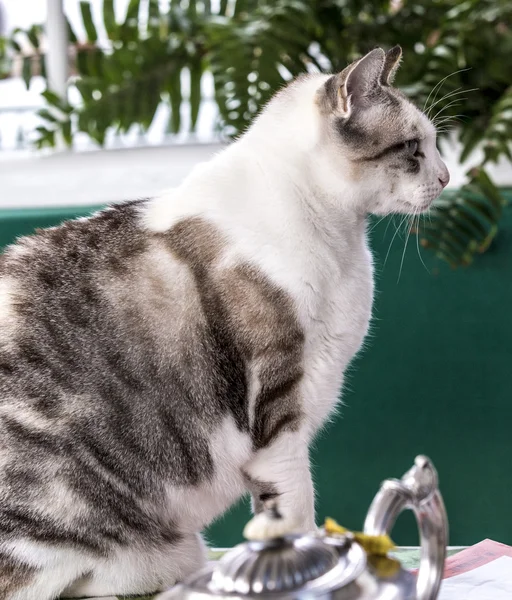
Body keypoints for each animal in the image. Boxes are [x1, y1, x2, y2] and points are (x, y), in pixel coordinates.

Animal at [0, 47, 448, 600]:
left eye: (434, 143)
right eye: (412, 148)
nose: (447, 177)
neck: (340, 239)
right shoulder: (277, 417)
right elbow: (294, 510)